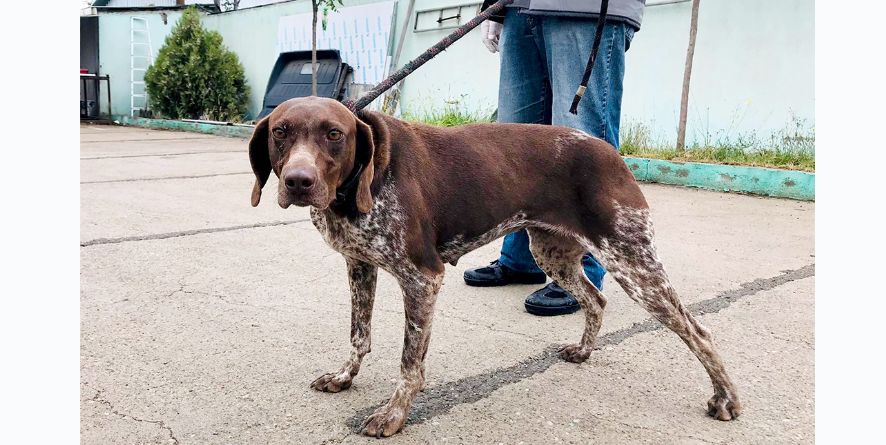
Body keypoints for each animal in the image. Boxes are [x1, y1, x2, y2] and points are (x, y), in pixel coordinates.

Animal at [246, 95, 740, 436]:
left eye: (335, 134)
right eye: (280, 132)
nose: (299, 182)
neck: (353, 193)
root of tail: (609, 150)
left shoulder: (422, 277)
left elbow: (409, 362)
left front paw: (394, 414)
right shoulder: (358, 264)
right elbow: (359, 336)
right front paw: (344, 377)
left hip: (633, 262)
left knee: (698, 331)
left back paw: (725, 398)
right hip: (553, 253)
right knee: (596, 299)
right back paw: (584, 351)